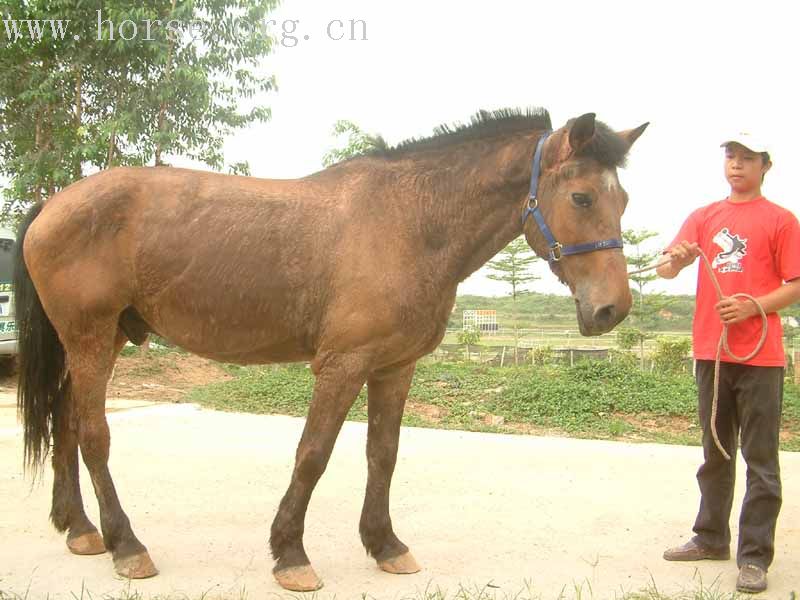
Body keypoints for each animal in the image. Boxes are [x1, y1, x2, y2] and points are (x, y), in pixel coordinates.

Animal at [15, 108, 648, 592]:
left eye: (623, 200)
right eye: (582, 197)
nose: (611, 310)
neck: (409, 221)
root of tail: (53, 204)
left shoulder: (395, 367)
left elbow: (383, 455)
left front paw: (385, 544)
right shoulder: (342, 365)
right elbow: (313, 454)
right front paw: (290, 554)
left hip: (100, 341)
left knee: (66, 423)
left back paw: (79, 529)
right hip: (91, 339)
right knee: (93, 435)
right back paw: (126, 545)